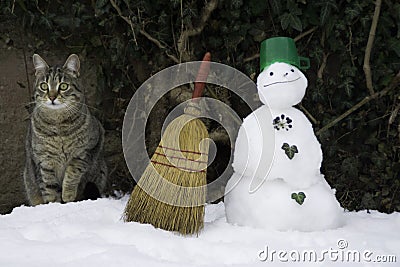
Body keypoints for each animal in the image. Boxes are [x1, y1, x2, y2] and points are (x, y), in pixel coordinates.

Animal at [23, 54, 108, 205]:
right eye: (44, 86)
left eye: (63, 86)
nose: (52, 97)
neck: (58, 125)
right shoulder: (43, 161)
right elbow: (49, 187)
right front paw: (54, 205)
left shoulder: (86, 150)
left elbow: (73, 172)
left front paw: (68, 195)